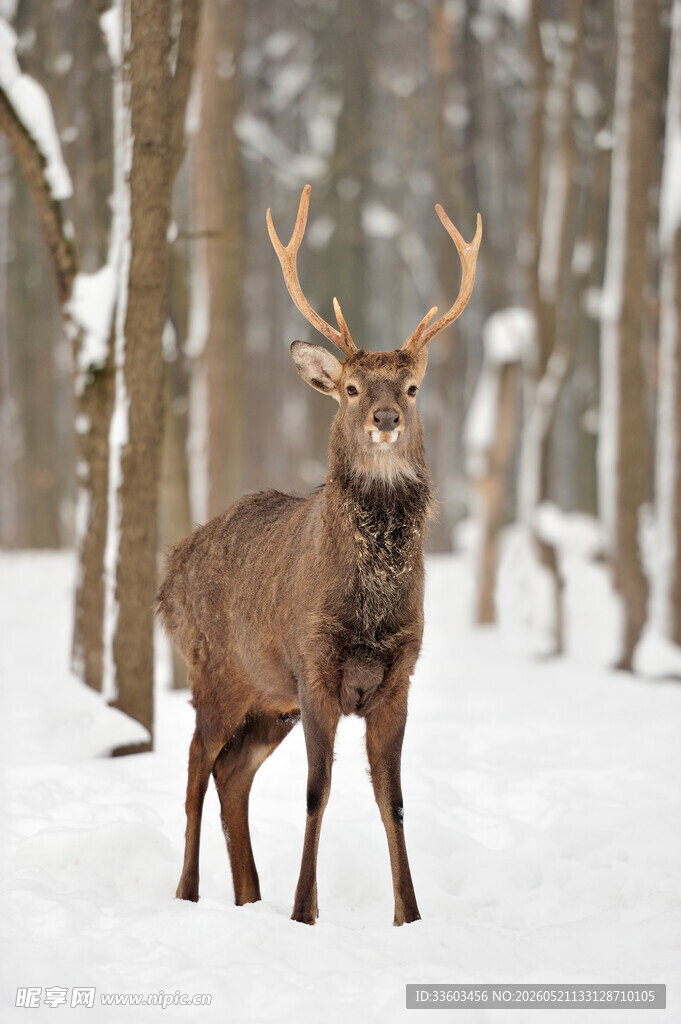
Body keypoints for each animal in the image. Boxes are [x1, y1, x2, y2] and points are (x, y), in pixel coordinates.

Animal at [157, 185, 481, 926]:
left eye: (412, 388)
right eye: (352, 389)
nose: (386, 419)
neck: (368, 608)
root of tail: (166, 574)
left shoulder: (398, 675)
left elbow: (392, 798)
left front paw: (409, 916)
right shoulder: (313, 667)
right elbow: (317, 789)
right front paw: (305, 913)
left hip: (264, 699)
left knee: (230, 774)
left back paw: (249, 896)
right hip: (212, 670)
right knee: (193, 768)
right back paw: (188, 893)